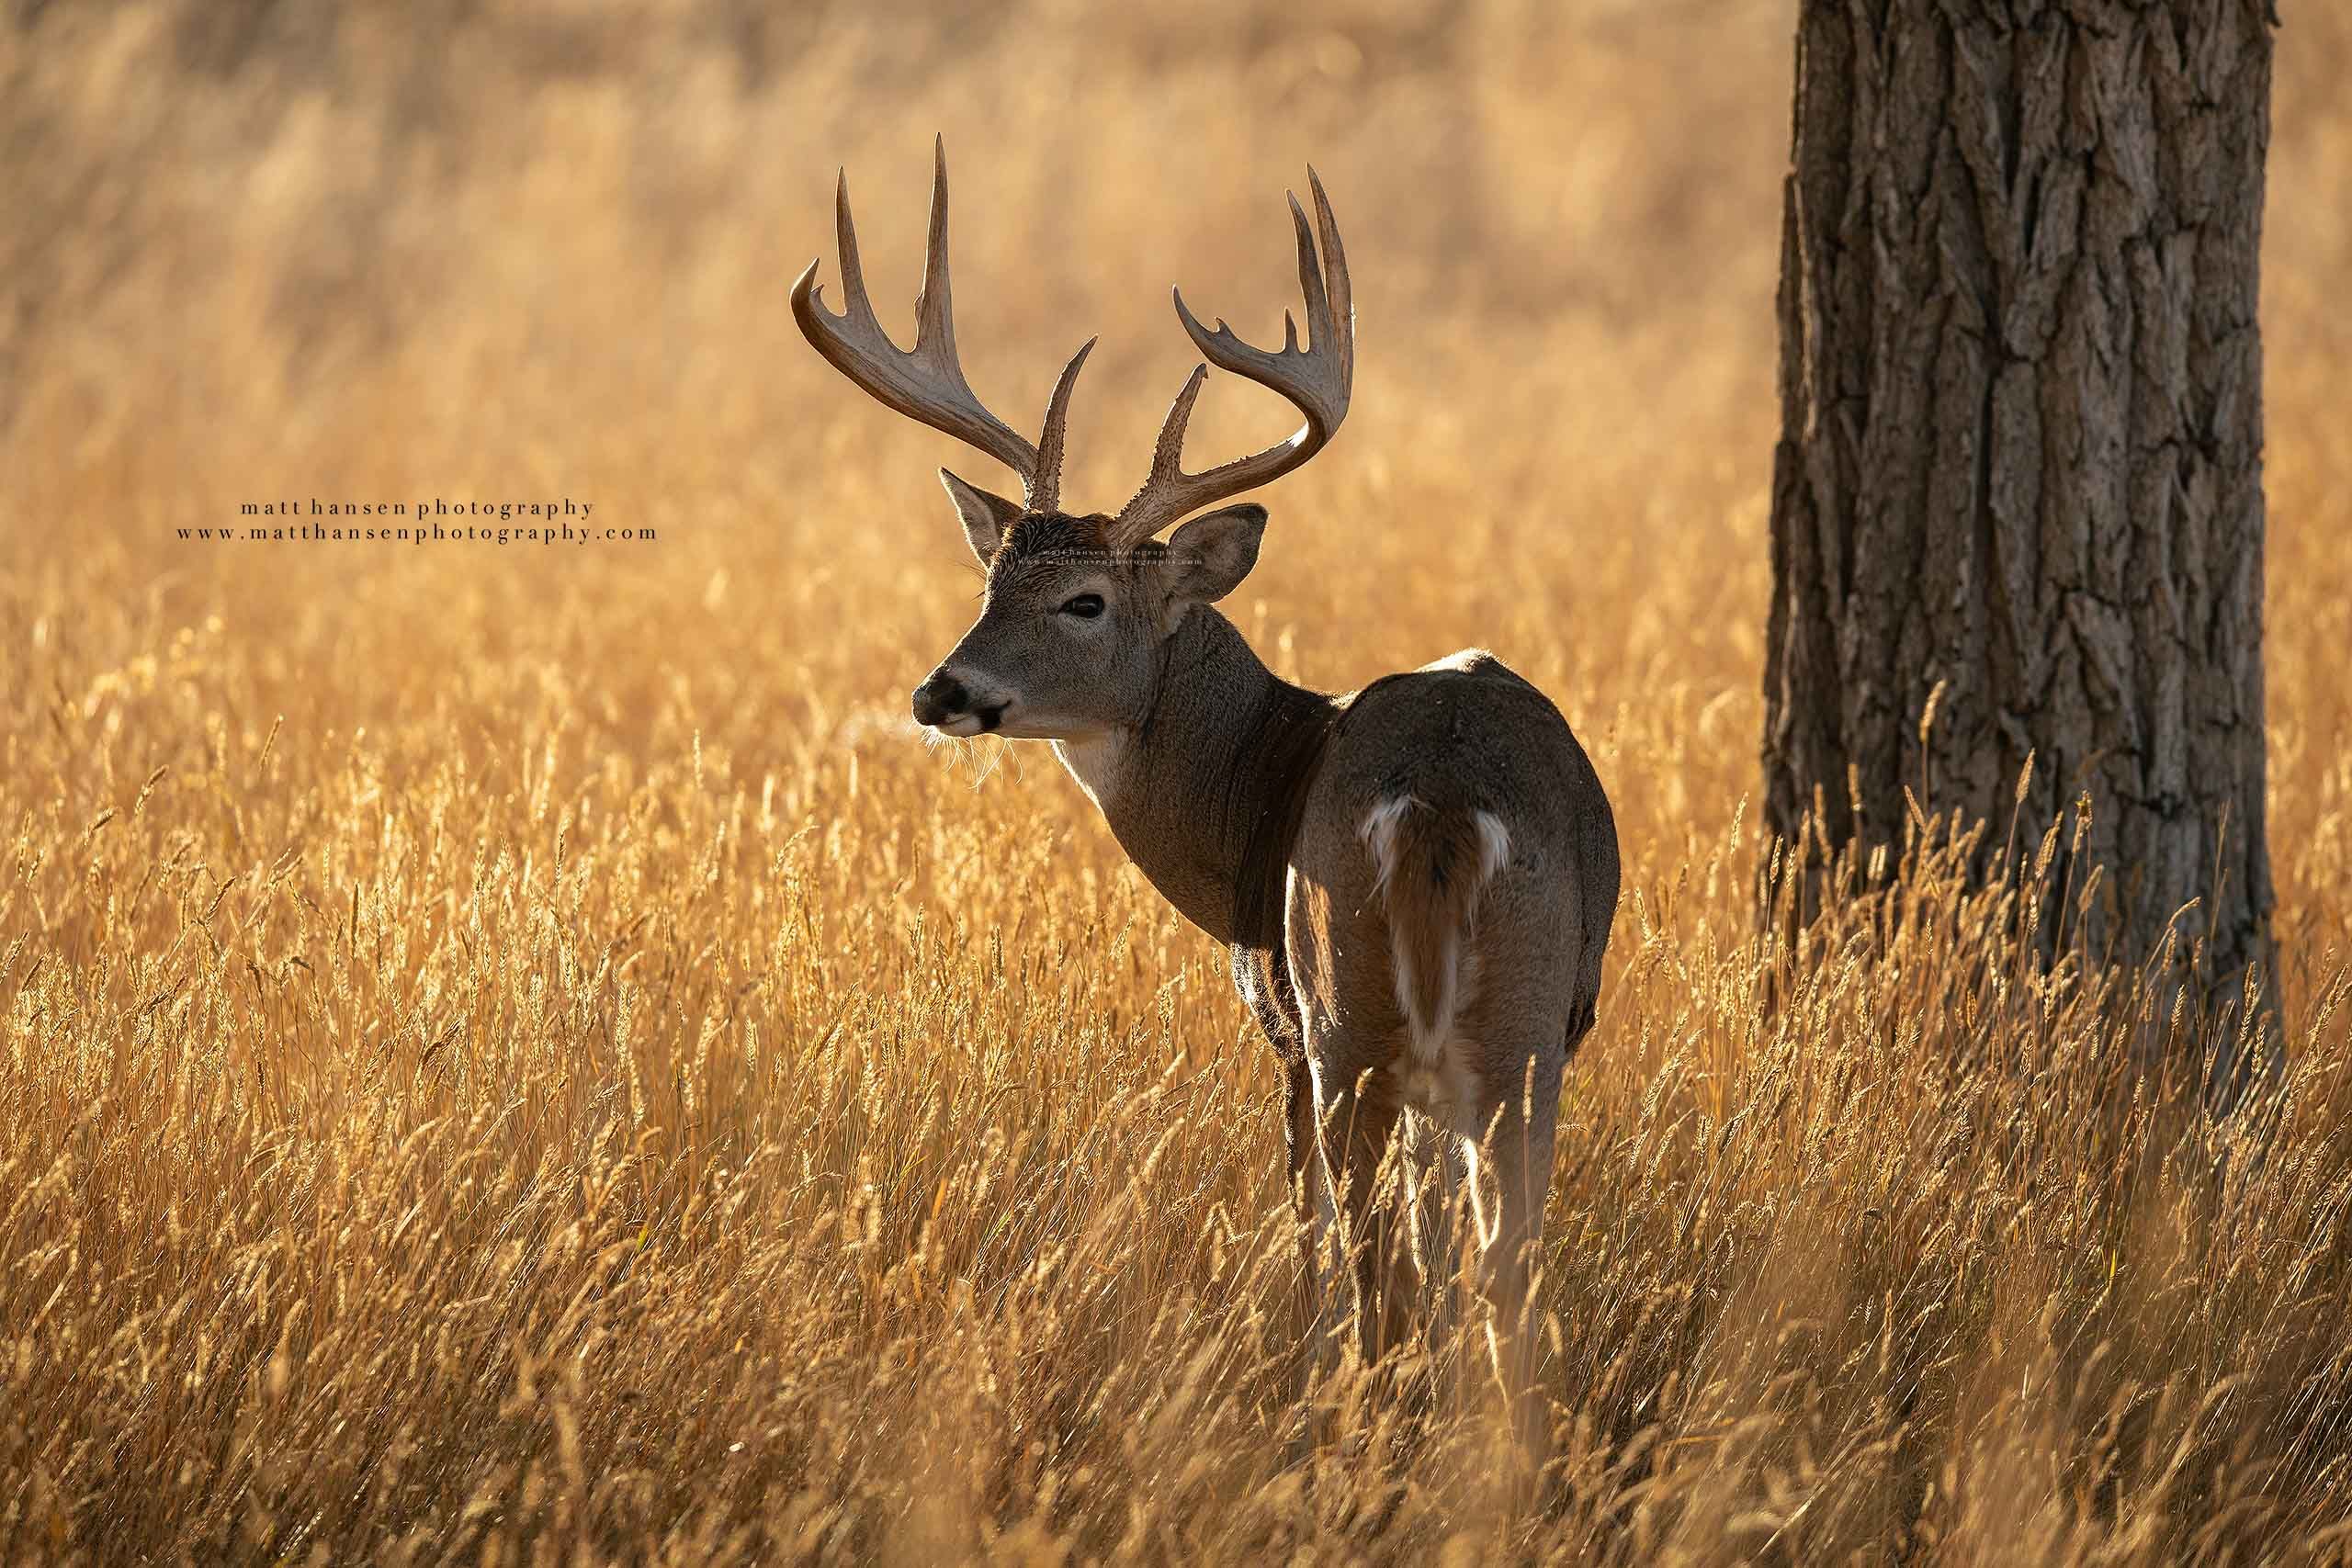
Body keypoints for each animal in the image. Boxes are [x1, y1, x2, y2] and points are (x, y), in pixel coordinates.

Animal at [791, 139, 1619, 1444]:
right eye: (990, 581)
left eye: (1085, 601)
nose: (939, 690)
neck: (1259, 770)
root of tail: (1438, 806)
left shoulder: (1277, 1021)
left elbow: (1319, 1242)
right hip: (1525, 1031)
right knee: (1502, 1274)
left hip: (1343, 1018)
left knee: (1375, 1269)